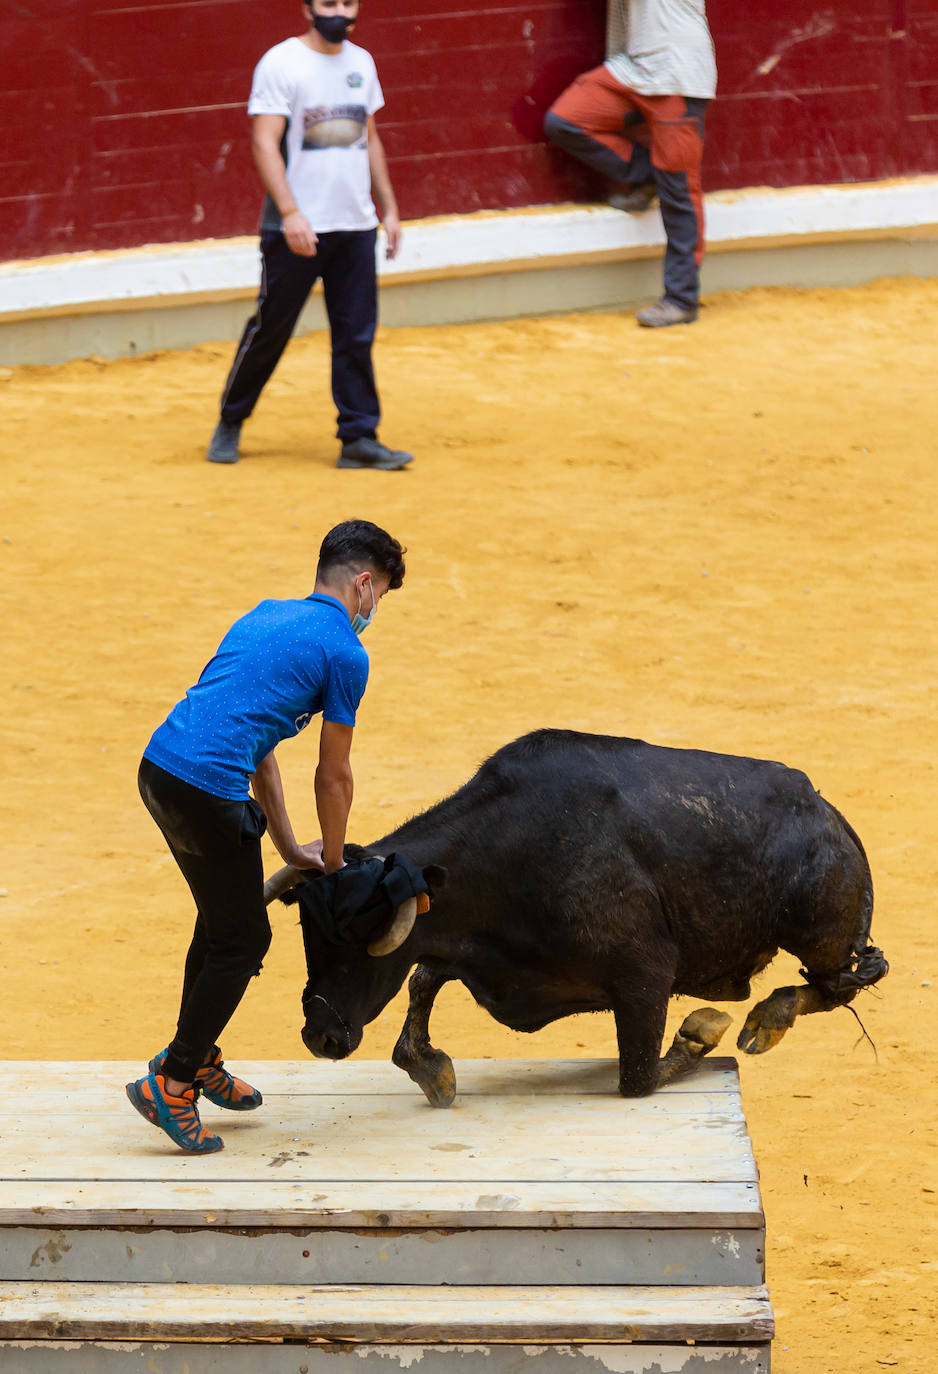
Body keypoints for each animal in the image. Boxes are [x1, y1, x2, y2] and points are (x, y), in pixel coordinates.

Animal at [271, 730, 889, 1104]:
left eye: (362, 939)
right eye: (307, 934)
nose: (319, 1036)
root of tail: (822, 804)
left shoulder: (644, 979)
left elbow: (638, 1077)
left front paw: (702, 1030)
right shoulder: (468, 951)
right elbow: (423, 982)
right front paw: (434, 1071)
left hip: (819, 932)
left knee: (848, 979)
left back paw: (765, 1019)